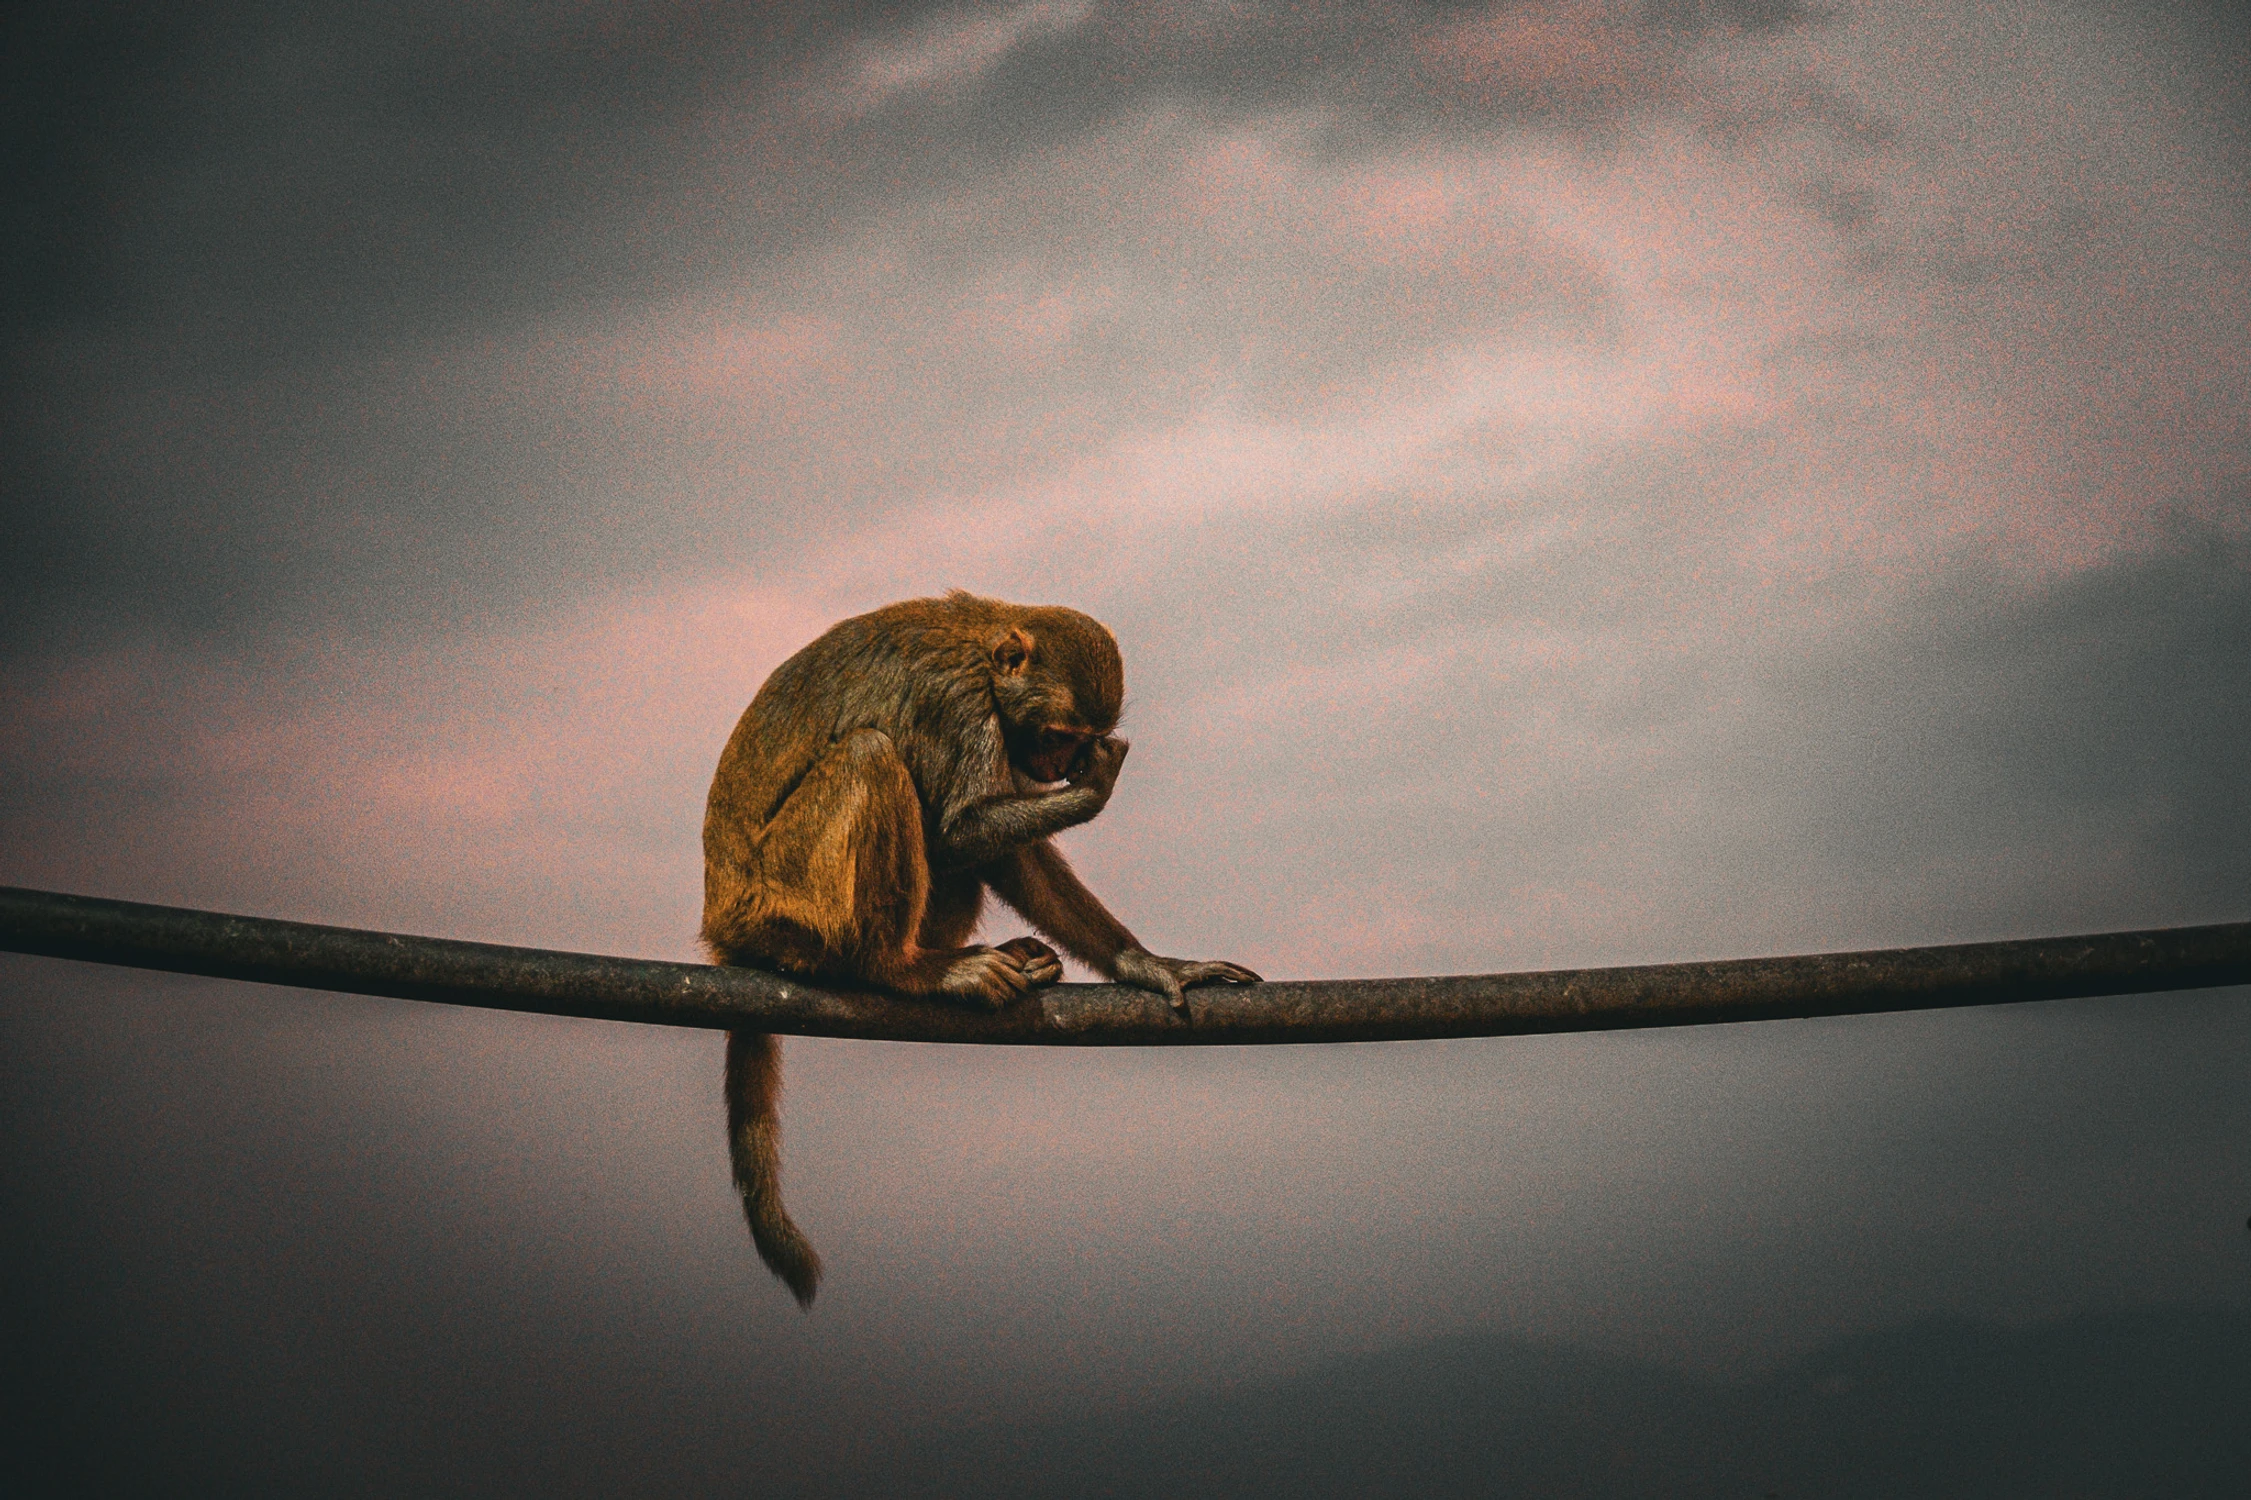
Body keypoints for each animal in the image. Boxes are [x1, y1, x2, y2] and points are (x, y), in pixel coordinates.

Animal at [702, 590, 1269, 1306]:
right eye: (1060, 737)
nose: (1066, 767)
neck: (987, 647)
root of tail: (727, 930)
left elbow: (1000, 854)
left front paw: (1144, 963)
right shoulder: (957, 702)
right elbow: (961, 828)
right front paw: (1092, 791)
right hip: (789, 901)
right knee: (870, 756)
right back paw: (902, 968)